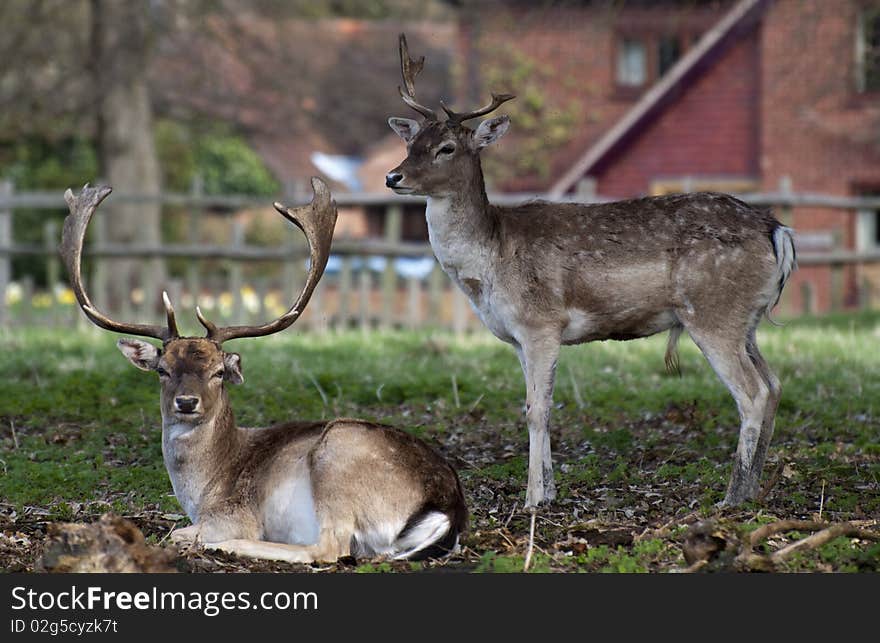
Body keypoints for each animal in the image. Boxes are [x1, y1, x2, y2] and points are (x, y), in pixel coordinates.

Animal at [61, 181, 468, 564]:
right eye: (162, 370)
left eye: (218, 372)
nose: (187, 402)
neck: (204, 488)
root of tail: (446, 509)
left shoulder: (230, 512)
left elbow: (177, 532)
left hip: (338, 455)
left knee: (329, 547)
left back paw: (234, 545)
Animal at [384, 34, 796, 508]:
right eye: (411, 143)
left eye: (447, 148)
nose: (393, 176)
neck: (489, 262)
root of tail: (777, 230)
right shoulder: (517, 338)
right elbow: (541, 405)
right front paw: (549, 493)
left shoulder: (541, 322)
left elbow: (536, 409)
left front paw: (532, 499)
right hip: (746, 320)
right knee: (775, 384)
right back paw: (753, 491)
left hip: (713, 312)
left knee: (753, 393)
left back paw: (732, 497)